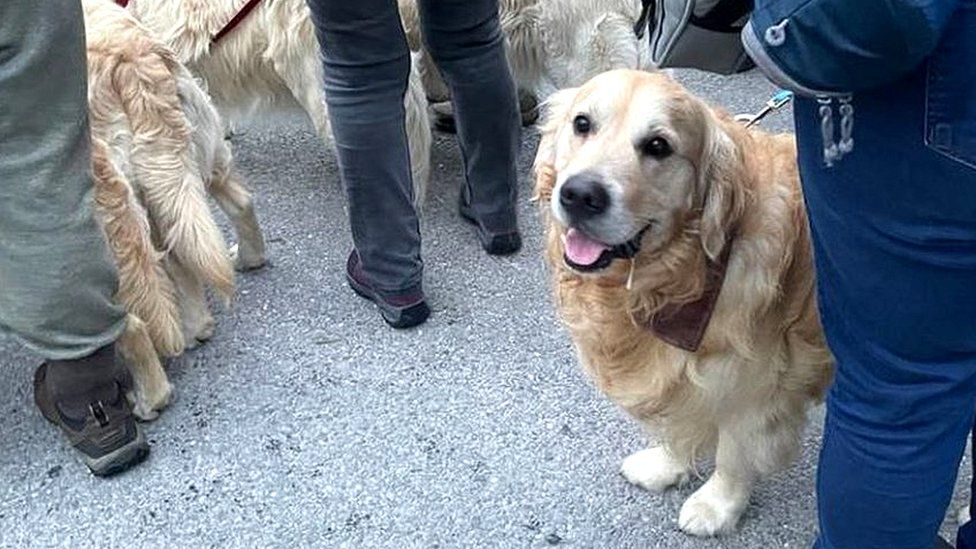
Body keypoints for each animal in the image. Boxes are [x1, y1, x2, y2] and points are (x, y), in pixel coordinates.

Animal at [532, 69, 832, 536]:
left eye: (658, 146)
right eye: (582, 124)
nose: (579, 195)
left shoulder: (756, 383)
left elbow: (734, 451)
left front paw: (717, 505)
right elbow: (681, 419)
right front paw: (666, 465)